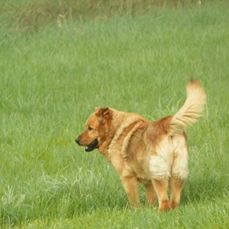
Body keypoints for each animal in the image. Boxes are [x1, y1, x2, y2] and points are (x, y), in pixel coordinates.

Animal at [75, 80, 206, 211]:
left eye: (90, 128)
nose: (76, 140)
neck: (115, 131)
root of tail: (165, 123)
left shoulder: (127, 177)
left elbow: (134, 201)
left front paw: (136, 211)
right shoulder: (147, 181)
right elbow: (151, 199)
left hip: (158, 174)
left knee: (164, 201)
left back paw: (160, 211)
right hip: (178, 172)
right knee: (174, 200)